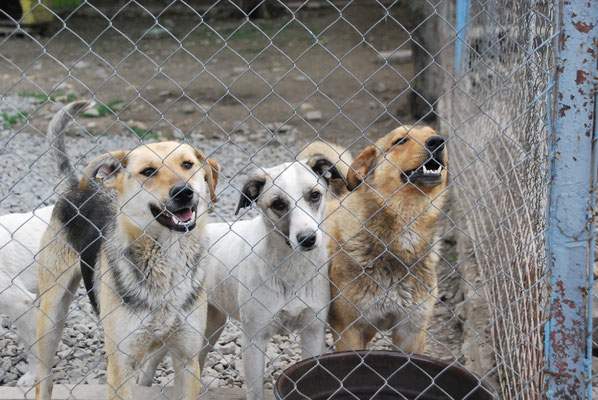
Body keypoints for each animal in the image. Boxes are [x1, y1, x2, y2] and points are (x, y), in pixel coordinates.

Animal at [33, 101, 220, 400]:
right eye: (148, 172)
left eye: (187, 165)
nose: (184, 192)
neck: (167, 259)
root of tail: (77, 185)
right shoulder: (121, 365)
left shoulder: (187, 360)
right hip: (51, 318)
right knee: (44, 380)